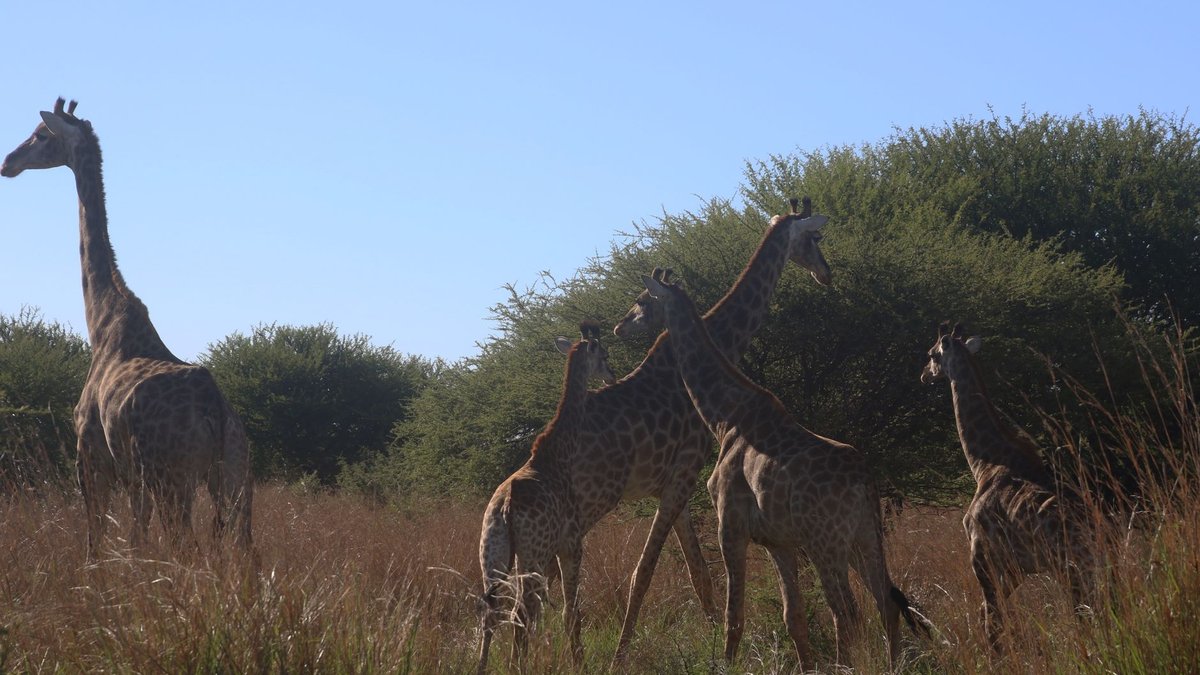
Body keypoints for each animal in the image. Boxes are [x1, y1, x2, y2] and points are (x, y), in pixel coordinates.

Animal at [2, 98, 253, 558]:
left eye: (41, 135)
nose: (8, 162)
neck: (101, 323)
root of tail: (213, 407)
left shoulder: (90, 457)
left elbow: (96, 540)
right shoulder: (133, 477)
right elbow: (136, 538)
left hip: (172, 478)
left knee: (186, 547)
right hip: (236, 475)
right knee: (246, 553)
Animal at [476, 322, 617, 674]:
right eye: (604, 355)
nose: (611, 376)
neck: (558, 454)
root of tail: (506, 507)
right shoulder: (572, 543)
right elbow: (571, 610)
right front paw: (579, 662)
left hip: (493, 553)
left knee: (492, 613)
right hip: (532, 554)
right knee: (519, 613)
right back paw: (518, 667)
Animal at [584, 198, 831, 662]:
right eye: (814, 237)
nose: (826, 272)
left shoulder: (671, 485)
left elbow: (699, 575)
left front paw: (716, 638)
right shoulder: (684, 473)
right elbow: (646, 571)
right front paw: (618, 656)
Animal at [640, 273, 928, 668]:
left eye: (643, 300)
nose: (623, 325)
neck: (724, 417)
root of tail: (864, 481)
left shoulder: (730, 524)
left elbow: (734, 614)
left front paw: (727, 665)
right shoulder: (778, 540)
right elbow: (794, 617)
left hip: (826, 541)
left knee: (847, 611)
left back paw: (845, 666)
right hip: (864, 537)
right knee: (885, 602)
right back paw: (891, 665)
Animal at [921, 322, 1096, 651]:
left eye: (932, 353)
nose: (925, 373)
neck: (984, 463)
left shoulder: (981, 553)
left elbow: (990, 619)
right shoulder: (1014, 567)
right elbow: (993, 615)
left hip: (1072, 568)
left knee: (1085, 613)